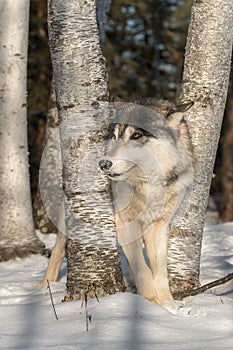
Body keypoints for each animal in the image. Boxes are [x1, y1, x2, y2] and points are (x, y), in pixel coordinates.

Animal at [98, 100, 193, 310]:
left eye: (136, 136)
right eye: (114, 137)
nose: (103, 164)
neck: (148, 185)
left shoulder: (159, 225)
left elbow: (160, 270)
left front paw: (168, 305)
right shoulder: (125, 222)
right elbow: (141, 266)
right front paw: (150, 302)